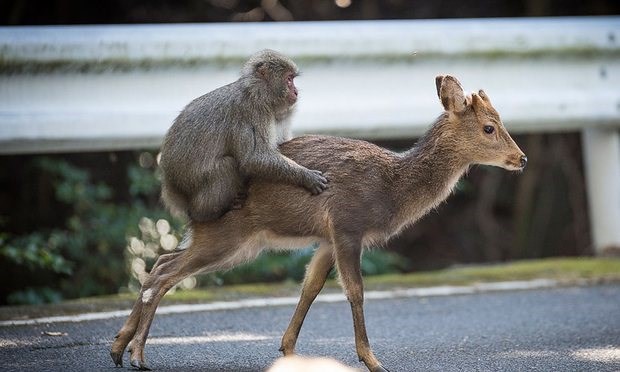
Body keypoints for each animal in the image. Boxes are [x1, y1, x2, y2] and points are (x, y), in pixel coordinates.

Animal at [110, 74, 524, 370]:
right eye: (489, 127)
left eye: (500, 121)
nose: (521, 158)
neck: (391, 188)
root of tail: (189, 202)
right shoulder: (347, 224)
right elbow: (355, 290)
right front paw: (373, 361)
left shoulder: (326, 238)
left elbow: (309, 287)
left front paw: (289, 350)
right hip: (228, 235)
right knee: (164, 274)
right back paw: (138, 355)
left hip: (234, 243)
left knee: (160, 263)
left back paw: (118, 347)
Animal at [159, 50, 330, 222]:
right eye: (289, 79)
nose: (296, 92)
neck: (258, 92)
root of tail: (172, 188)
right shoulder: (253, 112)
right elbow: (253, 158)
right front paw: (306, 176)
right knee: (227, 165)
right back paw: (207, 213)